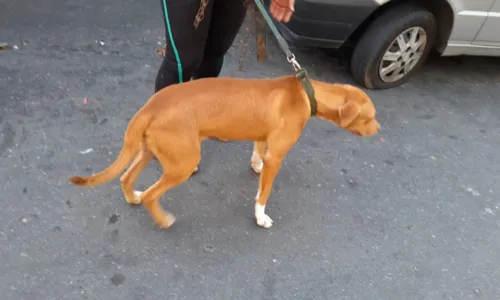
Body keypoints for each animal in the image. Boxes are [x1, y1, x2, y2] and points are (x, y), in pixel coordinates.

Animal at [69, 76, 378, 229]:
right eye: (370, 117)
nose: (379, 129)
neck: (306, 93)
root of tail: (150, 106)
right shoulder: (277, 157)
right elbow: (263, 194)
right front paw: (260, 217)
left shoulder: (262, 137)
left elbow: (258, 151)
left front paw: (255, 165)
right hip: (183, 162)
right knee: (151, 195)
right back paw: (163, 219)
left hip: (150, 150)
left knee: (125, 177)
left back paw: (132, 196)